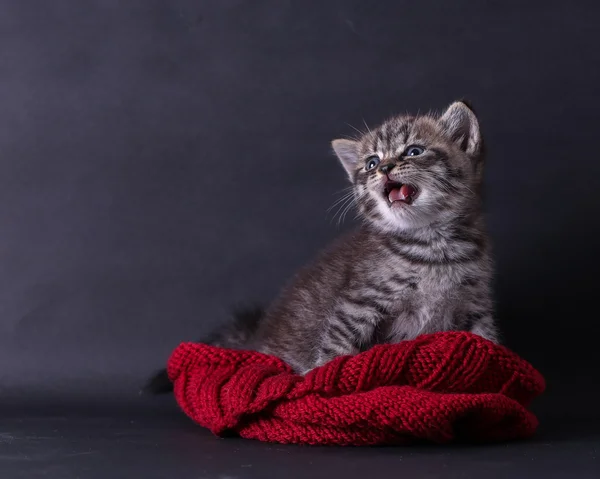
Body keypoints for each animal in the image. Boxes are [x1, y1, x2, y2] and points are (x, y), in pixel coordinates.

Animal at [145, 101, 496, 394]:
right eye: (371, 163)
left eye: (413, 151)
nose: (384, 169)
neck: (434, 246)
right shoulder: (358, 302)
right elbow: (337, 347)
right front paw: (325, 383)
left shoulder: (476, 304)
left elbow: (488, 342)